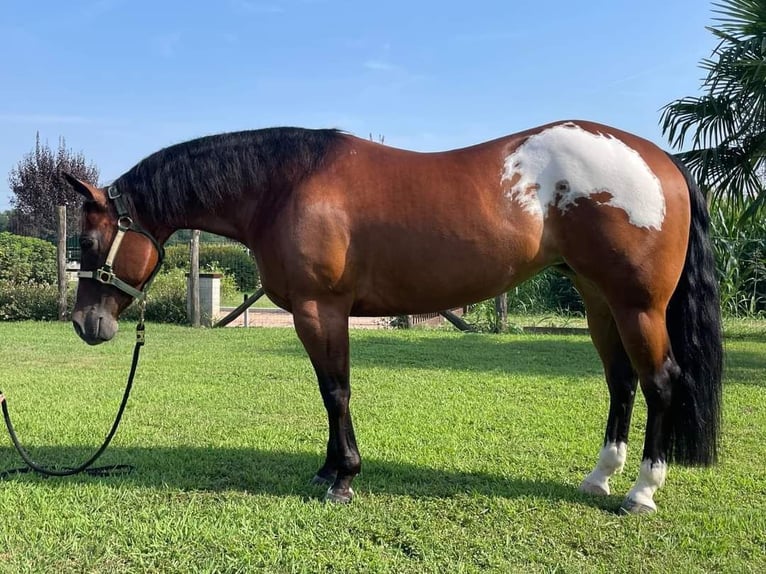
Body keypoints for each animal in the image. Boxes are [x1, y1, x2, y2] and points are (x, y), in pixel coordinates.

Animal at [63, 119, 724, 516]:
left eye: (88, 243)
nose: (85, 325)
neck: (286, 185)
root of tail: (661, 162)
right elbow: (329, 391)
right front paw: (328, 469)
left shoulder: (321, 310)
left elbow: (335, 390)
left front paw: (344, 477)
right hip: (598, 300)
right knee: (622, 381)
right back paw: (599, 478)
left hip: (638, 306)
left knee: (661, 382)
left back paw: (641, 491)